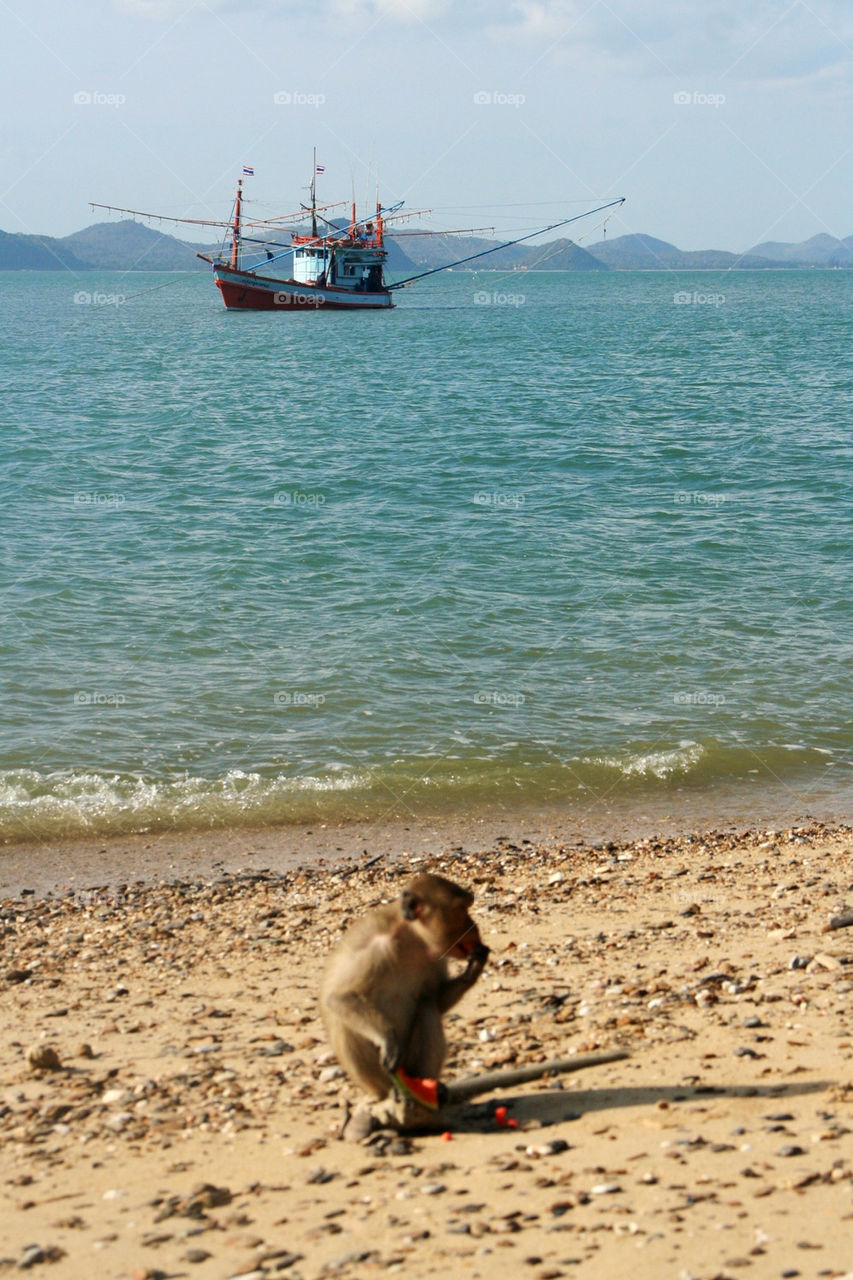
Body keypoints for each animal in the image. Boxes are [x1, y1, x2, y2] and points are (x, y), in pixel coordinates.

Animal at [320, 872, 489, 1126]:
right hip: (377, 1077)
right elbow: (340, 998)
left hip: (410, 1064)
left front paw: (474, 968)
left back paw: (429, 1087)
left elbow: (435, 1000)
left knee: (426, 1006)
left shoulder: (435, 957)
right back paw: (392, 1092)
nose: (474, 926)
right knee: (344, 1024)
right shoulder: (375, 951)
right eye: (461, 909)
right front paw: (388, 1040)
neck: (412, 938)